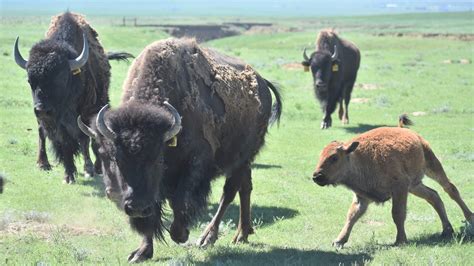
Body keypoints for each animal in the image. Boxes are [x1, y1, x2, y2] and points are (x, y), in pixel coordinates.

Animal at [13, 11, 132, 183]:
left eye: (61, 77)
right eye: (30, 80)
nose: (42, 110)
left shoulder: (88, 113)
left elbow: (88, 138)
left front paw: (92, 168)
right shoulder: (60, 122)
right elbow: (66, 142)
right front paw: (69, 175)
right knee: (41, 132)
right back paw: (43, 163)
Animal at [78, 38, 282, 262]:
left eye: (158, 159)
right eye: (113, 159)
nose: (137, 207)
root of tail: (262, 83)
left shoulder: (195, 165)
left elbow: (180, 202)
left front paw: (182, 234)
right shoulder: (150, 192)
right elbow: (152, 215)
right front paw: (141, 252)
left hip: (241, 158)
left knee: (229, 192)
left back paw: (207, 238)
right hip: (243, 162)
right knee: (245, 188)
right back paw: (242, 234)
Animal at [312, 115, 472, 247]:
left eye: (334, 157)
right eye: (321, 155)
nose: (316, 176)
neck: (357, 158)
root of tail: (409, 132)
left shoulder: (399, 188)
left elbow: (397, 213)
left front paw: (400, 240)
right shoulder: (362, 196)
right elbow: (352, 216)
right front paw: (338, 241)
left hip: (432, 164)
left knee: (450, 189)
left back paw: (470, 218)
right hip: (414, 185)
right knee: (433, 196)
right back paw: (447, 230)